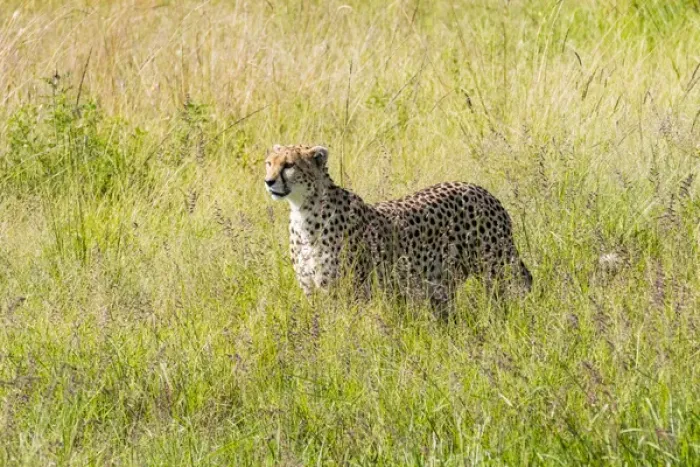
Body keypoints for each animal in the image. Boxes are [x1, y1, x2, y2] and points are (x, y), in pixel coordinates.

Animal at [264, 144, 532, 306]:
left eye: (289, 165)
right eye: (269, 163)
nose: (269, 181)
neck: (304, 212)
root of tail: (479, 189)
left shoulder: (352, 291)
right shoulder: (312, 291)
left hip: (495, 265)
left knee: (517, 287)